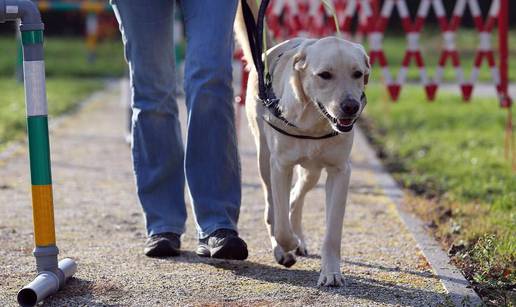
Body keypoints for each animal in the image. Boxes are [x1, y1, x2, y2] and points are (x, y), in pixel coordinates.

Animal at [235, 1, 370, 288]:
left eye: (358, 73)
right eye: (324, 75)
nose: (351, 107)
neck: (315, 122)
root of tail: (266, 52)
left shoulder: (340, 171)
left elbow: (332, 232)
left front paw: (331, 272)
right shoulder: (281, 166)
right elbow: (281, 224)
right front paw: (287, 243)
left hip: (312, 171)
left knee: (296, 197)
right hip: (265, 161)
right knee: (273, 206)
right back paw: (283, 247)